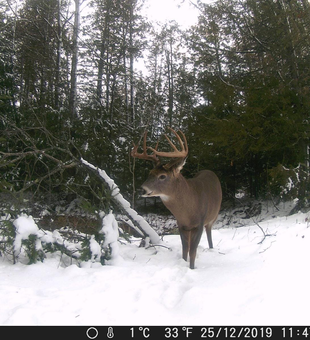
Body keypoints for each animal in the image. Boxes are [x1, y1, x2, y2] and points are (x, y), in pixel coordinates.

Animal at [132, 127, 222, 268]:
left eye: (162, 176)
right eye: (150, 173)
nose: (142, 189)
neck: (188, 211)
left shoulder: (199, 224)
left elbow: (192, 252)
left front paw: (192, 268)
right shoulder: (181, 225)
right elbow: (185, 250)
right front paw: (184, 263)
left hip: (213, 216)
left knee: (209, 233)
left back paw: (212, 248)